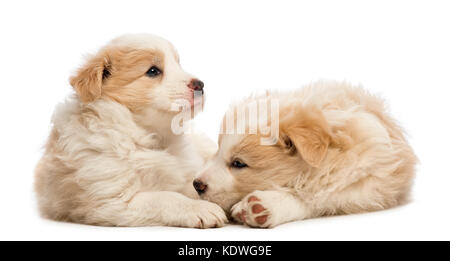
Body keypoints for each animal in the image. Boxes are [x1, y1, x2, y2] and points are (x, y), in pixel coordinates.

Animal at [34, 34, 229, 228]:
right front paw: (200, 208)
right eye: (153, 71)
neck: (145, 137)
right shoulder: (112, 201)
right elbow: (165, 197)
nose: (200, 85)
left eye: (178, 64)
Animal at [195, 81, 416, 228]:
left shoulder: (370, 178)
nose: (196, 184)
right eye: (217, 151)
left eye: (239, 163)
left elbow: (321, 196)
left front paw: (263, 206)